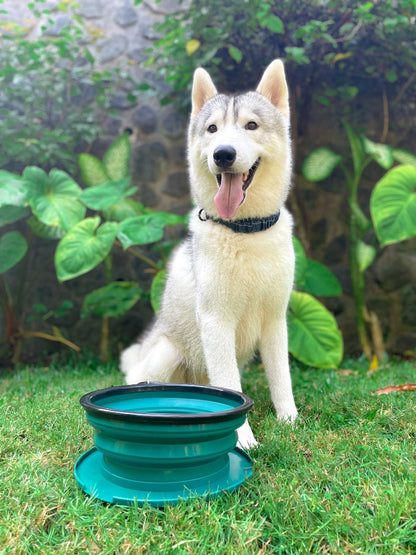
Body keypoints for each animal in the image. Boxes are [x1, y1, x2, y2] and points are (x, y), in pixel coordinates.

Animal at [121, 60, 300, 450]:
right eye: (213, 129)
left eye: (251, 125)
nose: (223, 154)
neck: (245, 232)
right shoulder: (216, 321)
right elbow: (229, 386)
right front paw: (242, 438)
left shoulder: (275, 320)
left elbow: (282, 378)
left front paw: (290, 421)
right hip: (166, 353)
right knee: (144, 380)